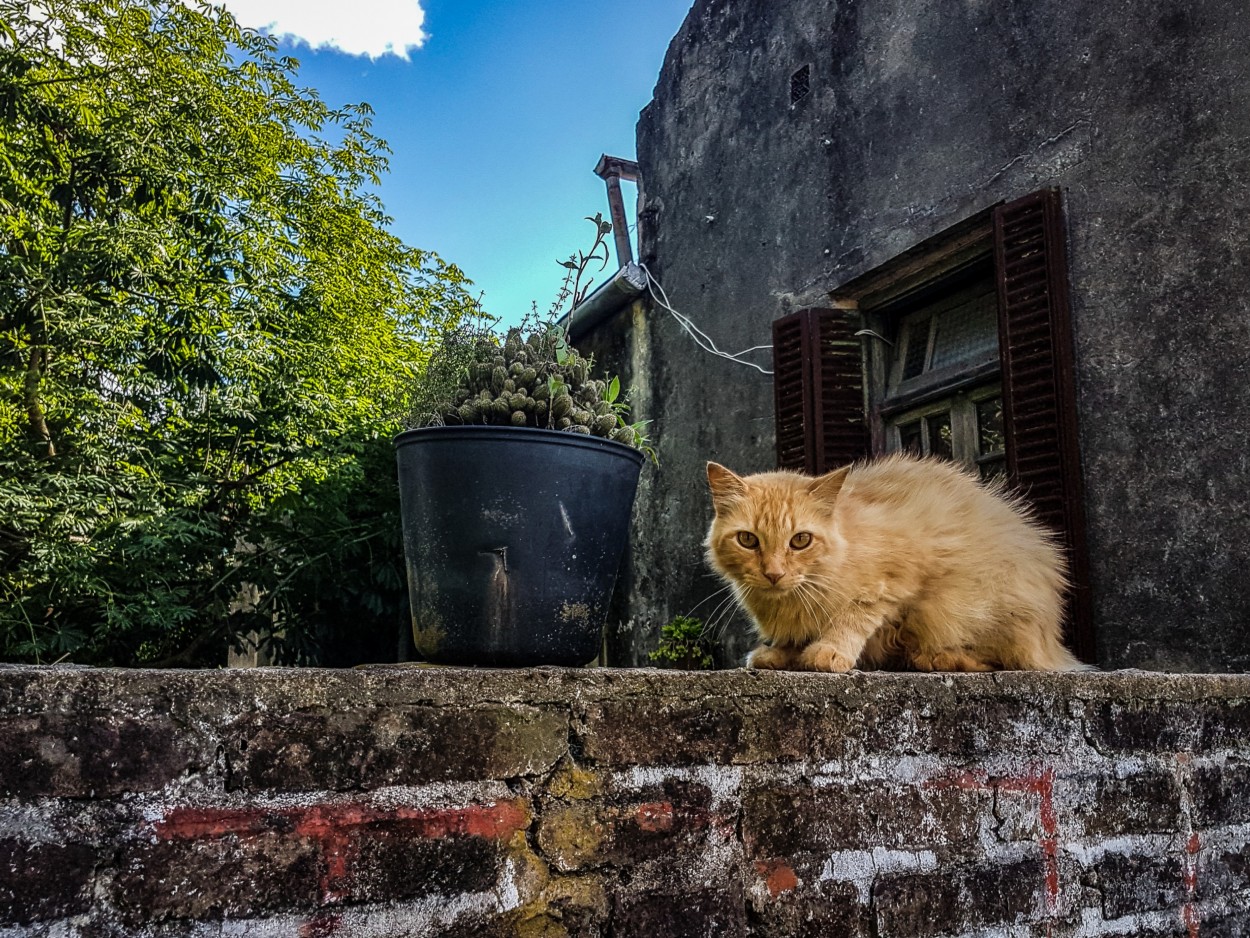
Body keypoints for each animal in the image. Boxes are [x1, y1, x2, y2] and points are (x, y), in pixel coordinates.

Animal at [705, 457, 1085, 670]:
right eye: (748, 540)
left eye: (800, 540)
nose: (773, 573)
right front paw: (781, 653)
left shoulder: (894, 579)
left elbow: (853, 616)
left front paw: (828, 651)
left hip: (967, 605)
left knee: (1006, 659)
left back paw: (936, 659)